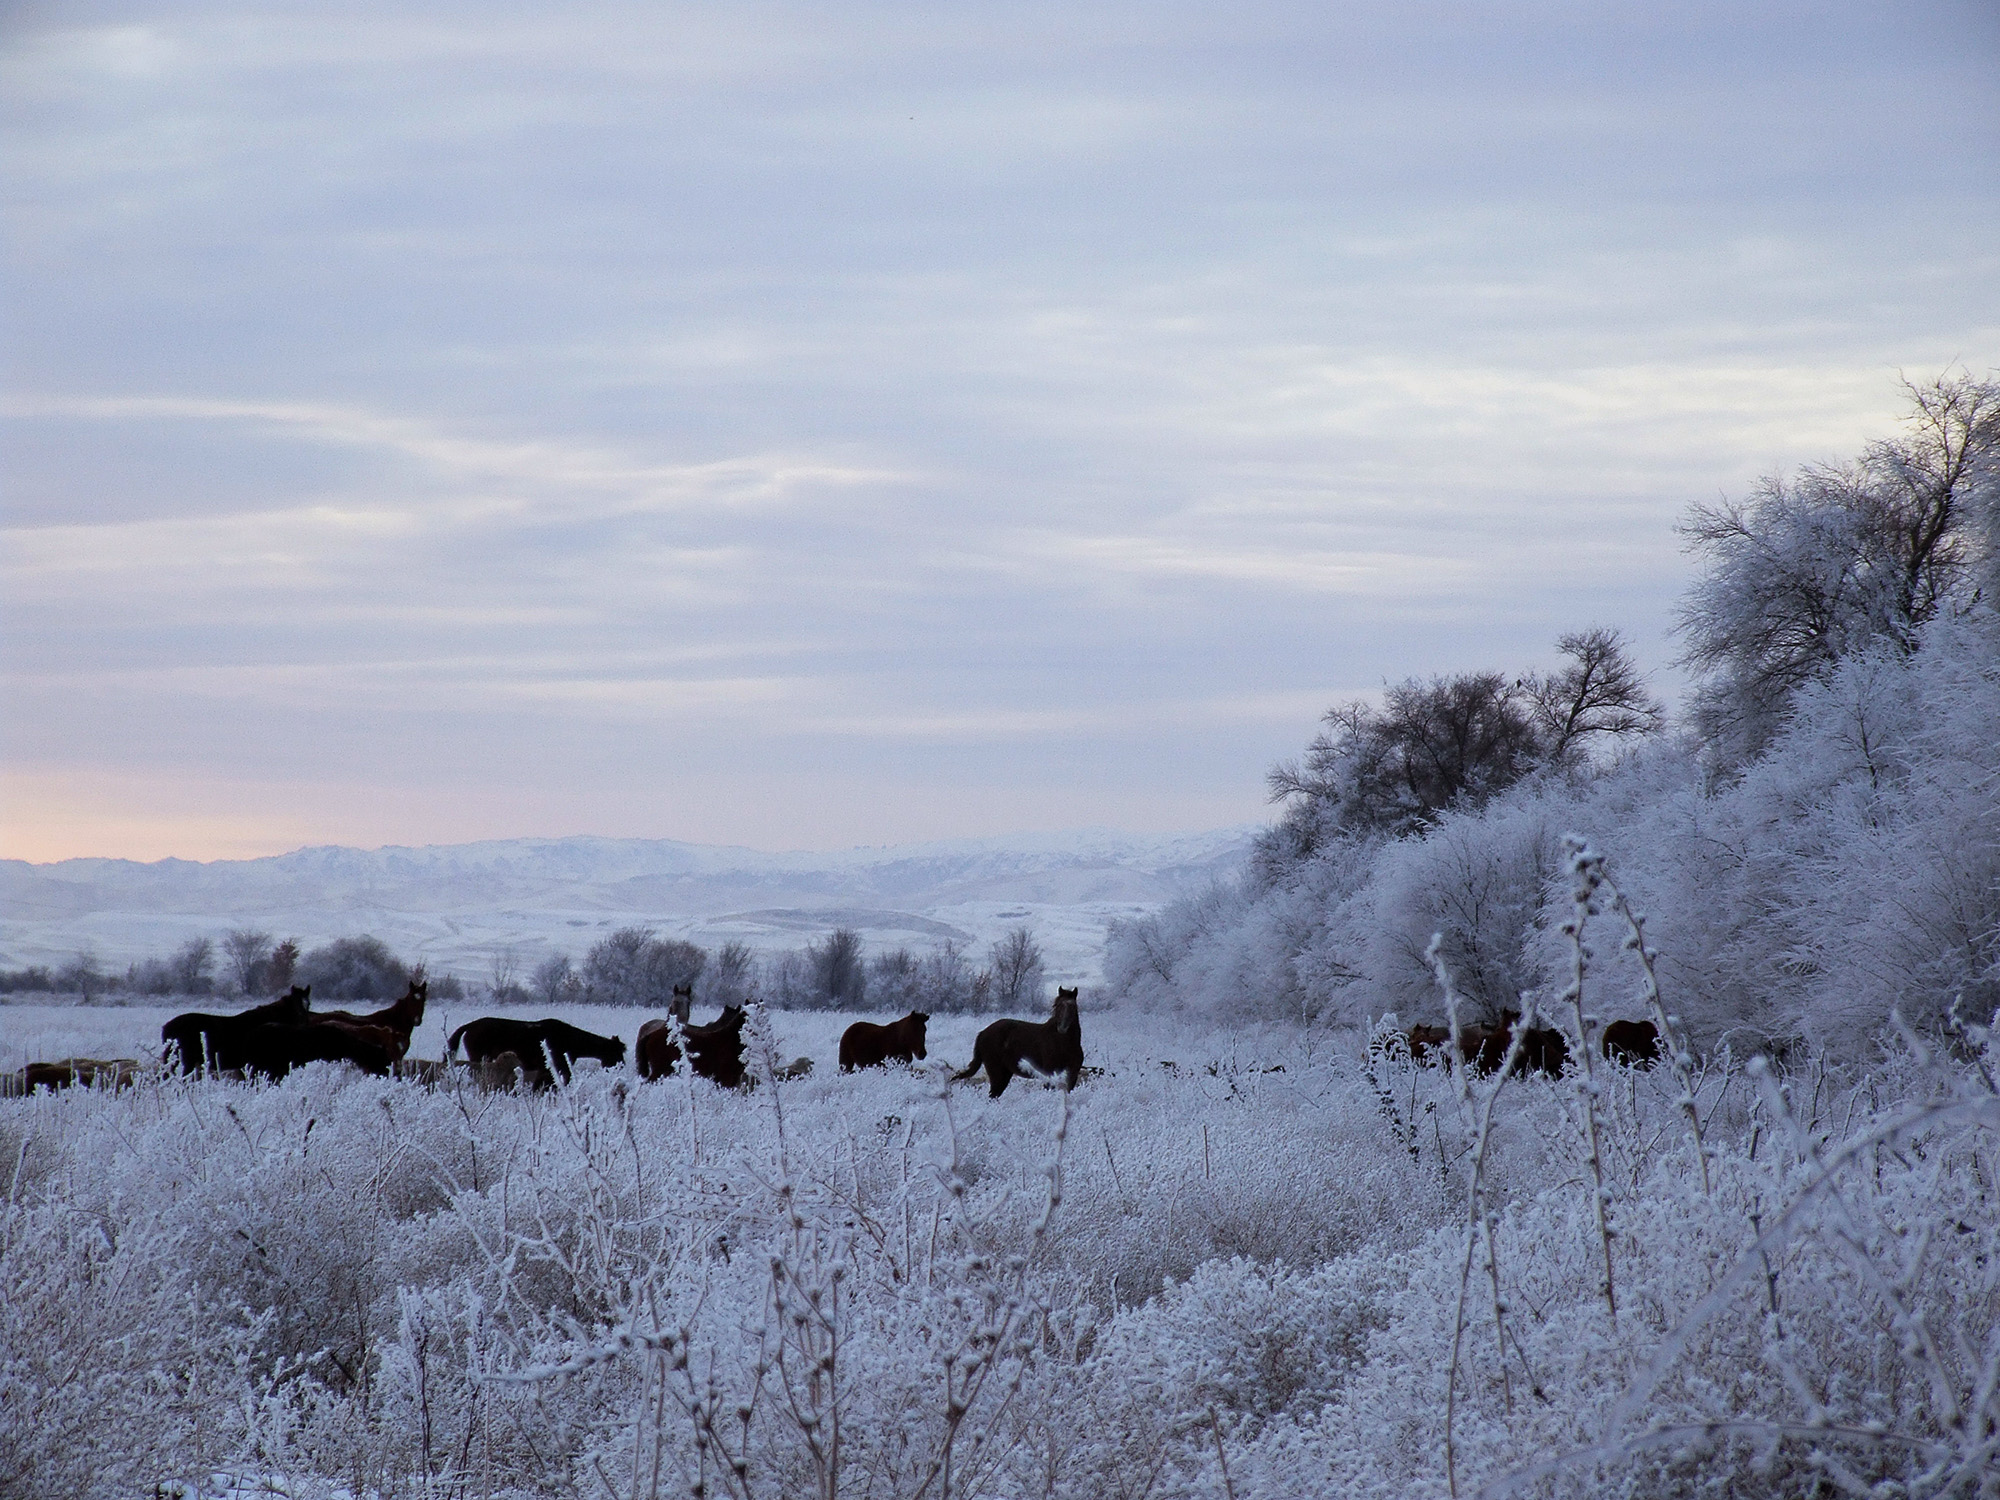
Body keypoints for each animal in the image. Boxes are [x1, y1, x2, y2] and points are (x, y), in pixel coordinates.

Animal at [948, 992, 1080, 1096]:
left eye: (1073, 1006)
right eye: (1057, 1006)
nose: (1062, 1027)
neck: (1064, 1044)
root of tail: (983, 1033)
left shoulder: (1072, 1075)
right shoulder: (1049, 1075)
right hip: (997, 1072)